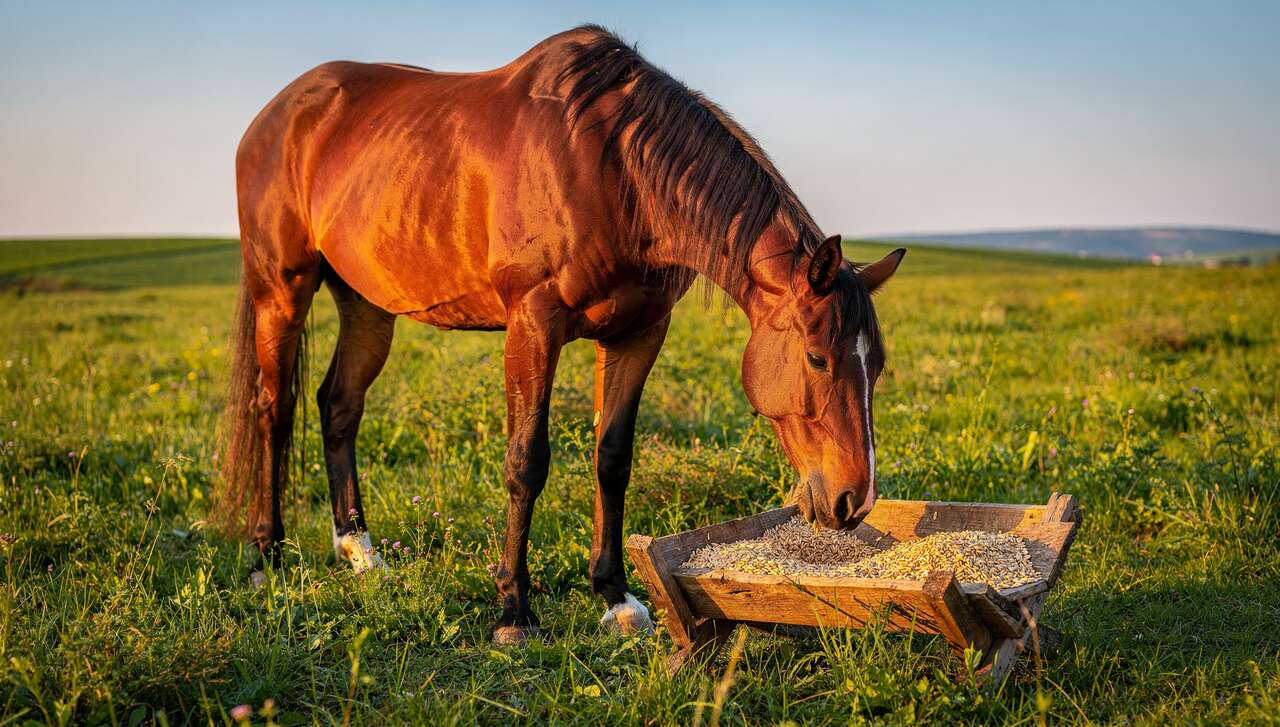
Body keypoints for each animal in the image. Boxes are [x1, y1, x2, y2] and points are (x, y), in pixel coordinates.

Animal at [216, 25, 904, 643]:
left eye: (876, 366)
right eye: (817, 358)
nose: (855, 501)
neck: (616, 172)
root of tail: (275, 116)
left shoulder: (638, 332)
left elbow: (612, 458)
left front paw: (615, 596)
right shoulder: (532, 325)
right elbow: (527, 462)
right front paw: (513, 612)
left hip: (366, 303)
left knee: (339, 405)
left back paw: (358, 551)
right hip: (281, 288)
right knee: (273, 410)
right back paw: (266, 558)